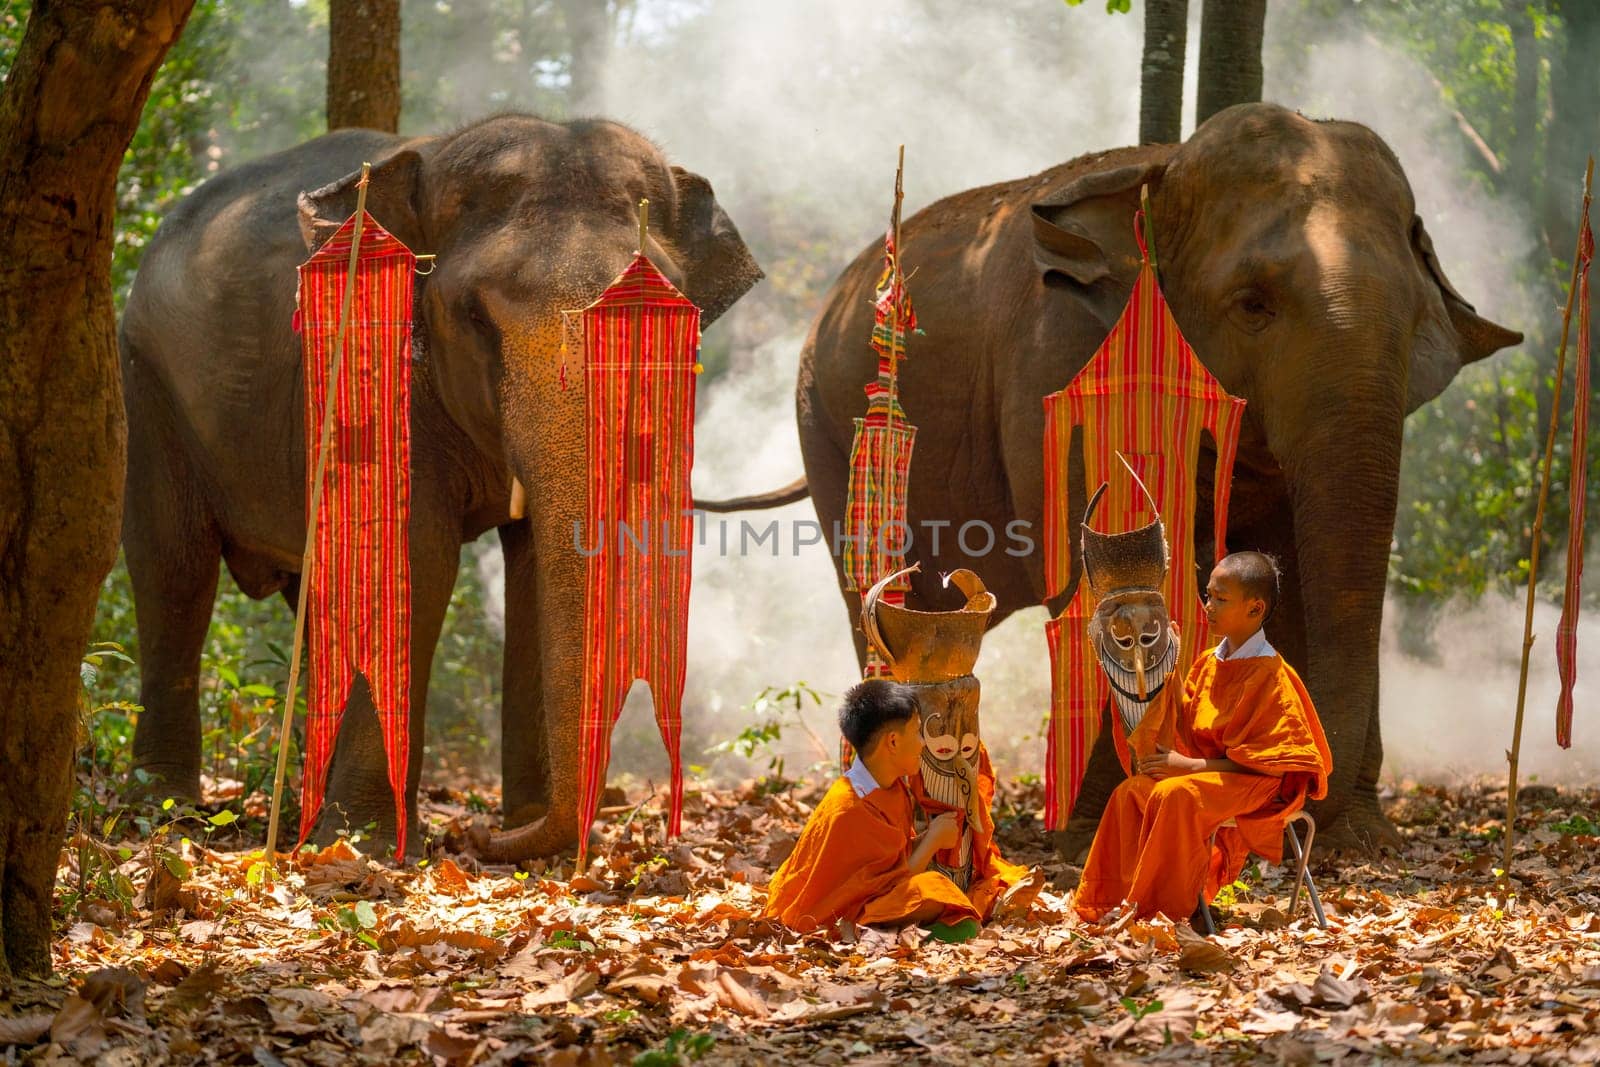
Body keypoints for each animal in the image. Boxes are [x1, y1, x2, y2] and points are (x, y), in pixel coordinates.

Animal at [121, 112, 758, 857]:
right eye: (475, 317)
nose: (483, 839)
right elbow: (415, 555)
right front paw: (363, 845)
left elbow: (530, 571)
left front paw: (517, 832)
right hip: (147, 380)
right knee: (173, 570)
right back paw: (164, 811)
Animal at [704, 103, 1523, 857]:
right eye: (1253, 304)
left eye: (1417, 318)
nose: (1314, 811)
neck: (1162, 172)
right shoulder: (1056, 368)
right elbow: (1093, 567)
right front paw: (1093, 829)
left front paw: (1355, 834)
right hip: (828, 430)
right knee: (876, 600)